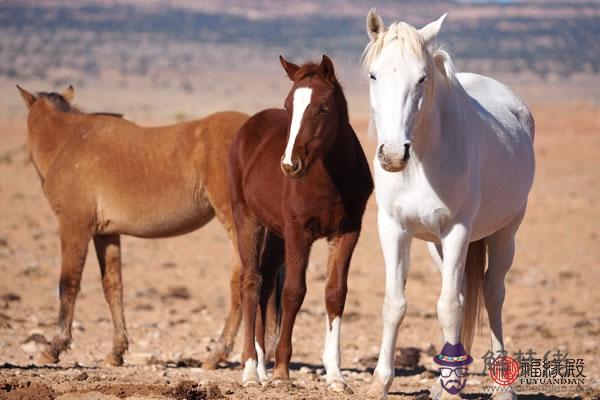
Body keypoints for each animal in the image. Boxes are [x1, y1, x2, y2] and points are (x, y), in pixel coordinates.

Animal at [16, 85, 278, 368]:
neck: (67, 143)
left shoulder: (74, 226)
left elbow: (68, 284)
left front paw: (54, 347)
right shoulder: (106, 234)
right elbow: (113, 286)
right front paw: (116, 351)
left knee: (243, 282)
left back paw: (219, 354)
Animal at [227, 54, 372, 392]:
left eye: (323, 107)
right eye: (288, 106)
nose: (290, 165)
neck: (330, 178)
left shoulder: (348, 232)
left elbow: (335, 293)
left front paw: (335, 376)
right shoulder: (298, 232)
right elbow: (294, 292)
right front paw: (282, 371)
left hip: (275, 234)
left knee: (266, 283)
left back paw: (262, 368)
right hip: (248, 220)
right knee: (252, 283)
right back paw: (251, 370)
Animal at [360, 9, 536, 400]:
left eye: (421, 78)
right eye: (374, 74)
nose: (392, 154)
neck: (422, 161)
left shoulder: (457, 230)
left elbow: (450, 308)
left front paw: (453, 386)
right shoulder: (393, 229)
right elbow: (395, 304)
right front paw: (380, 382)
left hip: (506, 232)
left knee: (492, 293)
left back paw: (501, 387)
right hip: (436, 246)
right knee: (463, 290)